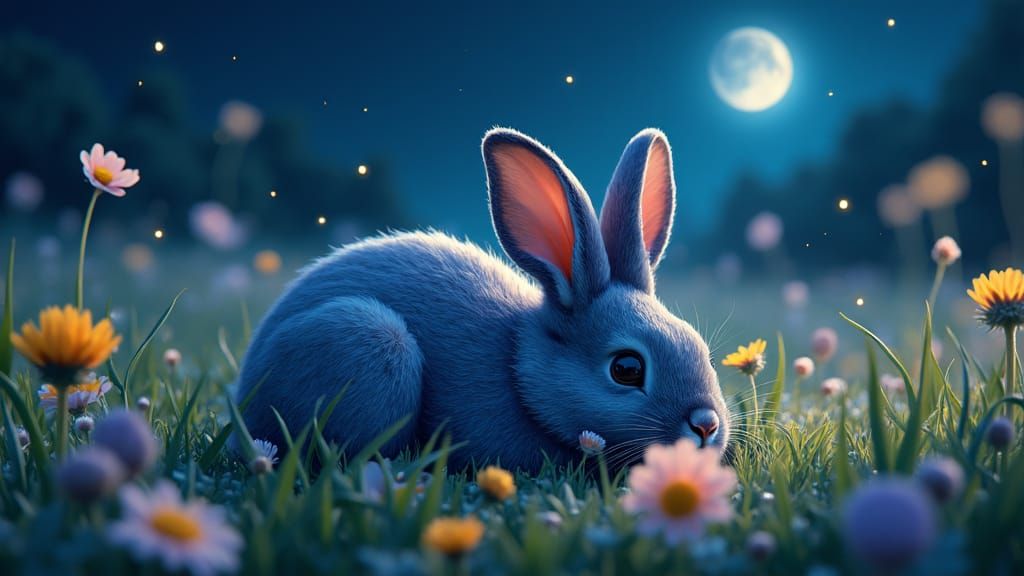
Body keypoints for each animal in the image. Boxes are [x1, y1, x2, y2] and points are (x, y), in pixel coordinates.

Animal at [235, 127, 729, 473]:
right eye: (626, 368)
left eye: (701, 350)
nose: (706, 425)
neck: (518, 369)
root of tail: (246, 387)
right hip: (374, 340)